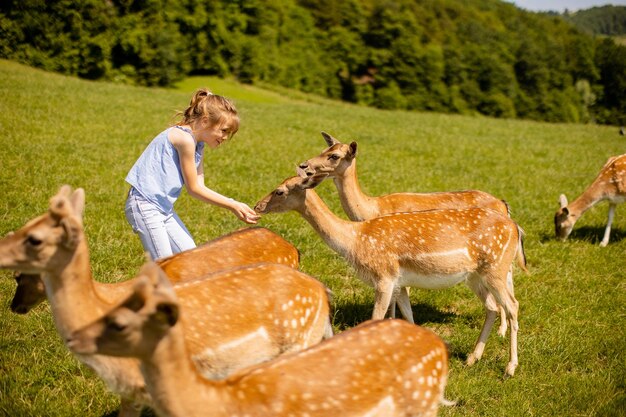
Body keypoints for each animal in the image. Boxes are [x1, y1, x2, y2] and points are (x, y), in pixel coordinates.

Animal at [254, 172, 528, 374]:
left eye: (280, 191)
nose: (257, 206)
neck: (355, 241)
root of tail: (516, 227)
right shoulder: (399, 281)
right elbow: (408, 314)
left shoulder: (384, 276)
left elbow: (376, 317)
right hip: (475, 276)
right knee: (492, 307)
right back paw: (472, 358)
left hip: (496, 268)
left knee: (512, 305)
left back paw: (510, 367)